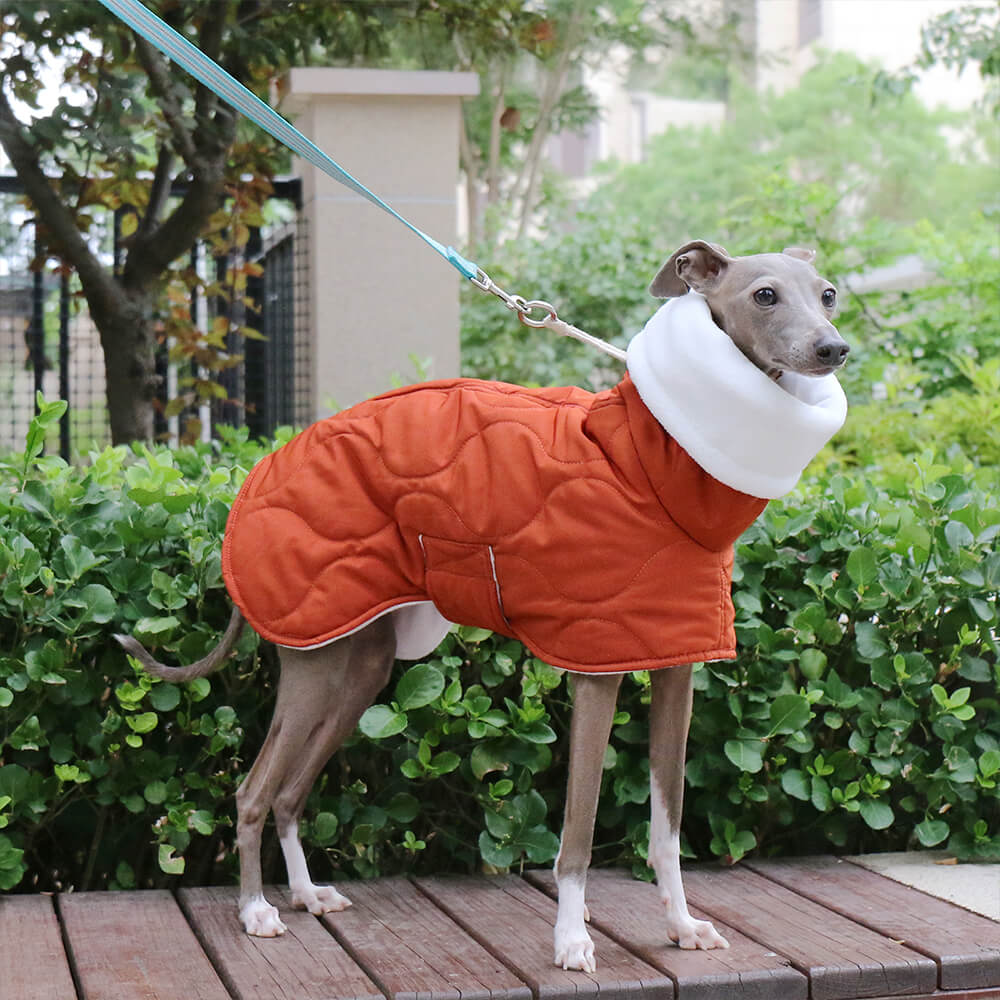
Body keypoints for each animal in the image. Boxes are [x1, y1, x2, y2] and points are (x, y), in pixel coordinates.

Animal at [119, 240, 852, 968]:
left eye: (828, 293)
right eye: (764, 295)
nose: (834, 349)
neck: (655, 463)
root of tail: (256, 476)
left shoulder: (676, 668)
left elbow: (667, 825)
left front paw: (682, 923)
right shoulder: (598, 670)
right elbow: (578, 830)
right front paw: (572, 938)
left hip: (360, 664)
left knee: (292, 792)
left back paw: (305, 893)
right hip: (314, 659)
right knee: (253, 791)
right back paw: (255, 909)